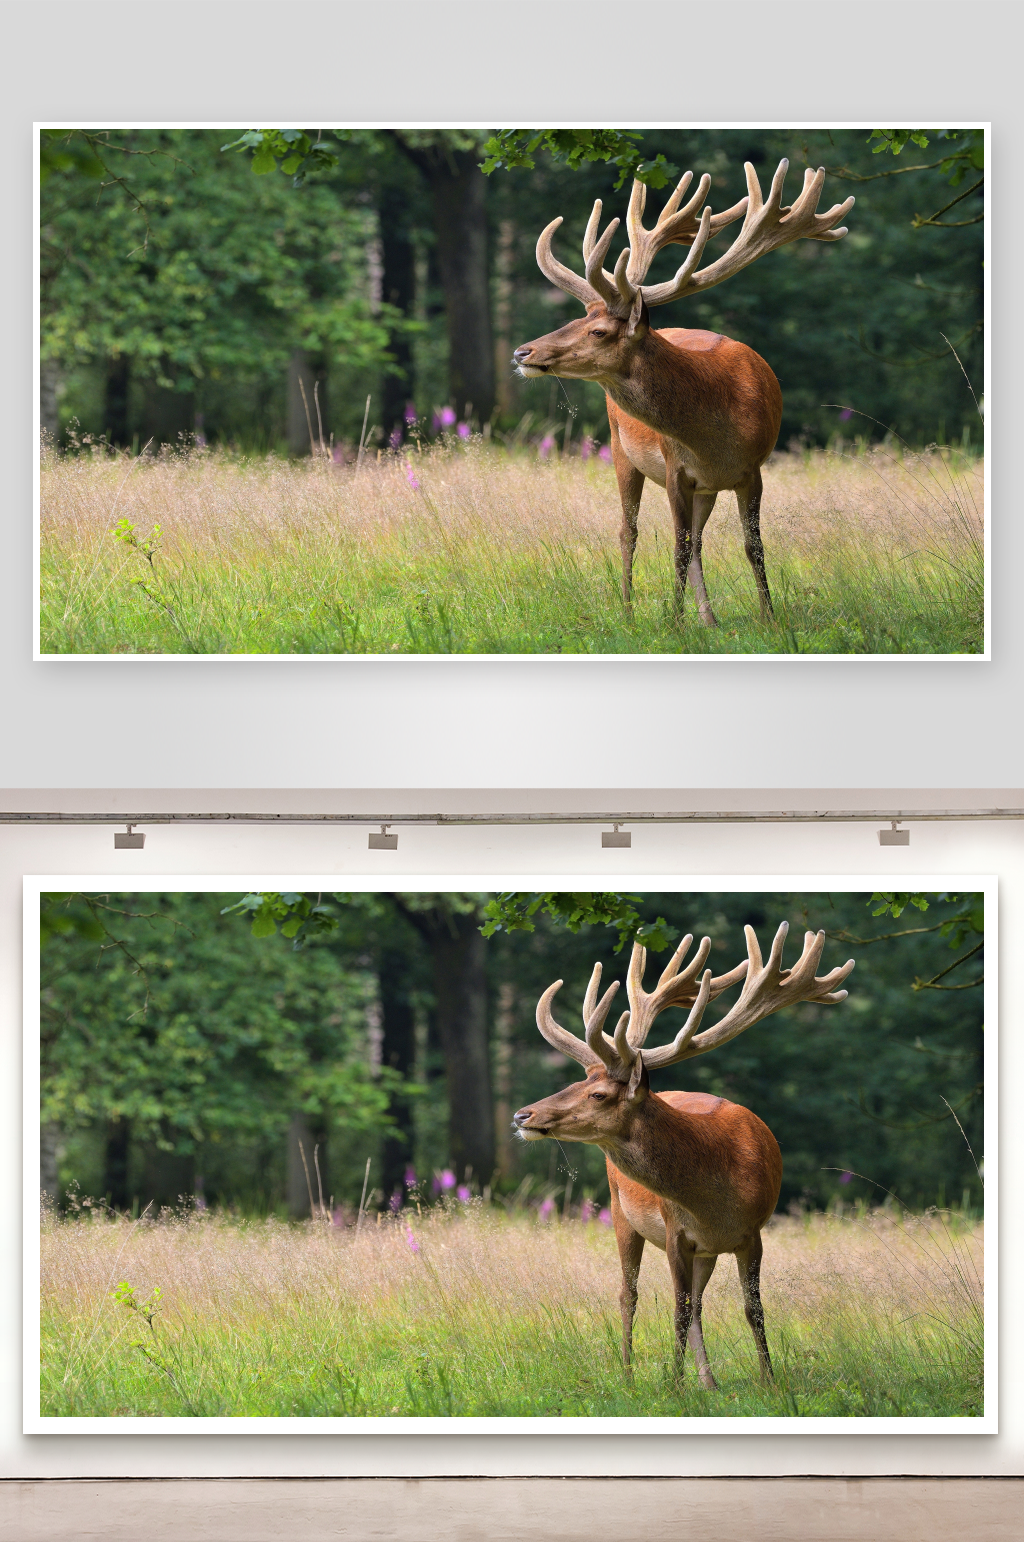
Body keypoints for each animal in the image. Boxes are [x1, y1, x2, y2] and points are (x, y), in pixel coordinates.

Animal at [513, 160, 855, 626]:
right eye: (576, 318)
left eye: (597, 330)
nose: (522, 352)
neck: (715, 434)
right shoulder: (677, 468)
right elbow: (677, 547)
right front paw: (673, 625)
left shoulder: (752, 470)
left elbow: (751, 547)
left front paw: (768, 617)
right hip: (620, 449)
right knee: (629, 530)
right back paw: (628, 612)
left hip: (703, 488)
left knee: (694, 540)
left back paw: (707, 618)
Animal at [513, 921, 854, 1389]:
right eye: (575, 1082)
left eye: (597, 1093)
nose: (522, 1114)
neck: (715, 1198)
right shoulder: (677, 1231)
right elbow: (677, 1310)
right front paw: (673, 1388)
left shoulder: (752, 1234)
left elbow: (751, 1310)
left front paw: (768, 1380)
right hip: (620, 1211)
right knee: (629, 1294)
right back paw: (629, 1375)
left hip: (702, 1251)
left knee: (694, 1303)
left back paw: (707, 1381)